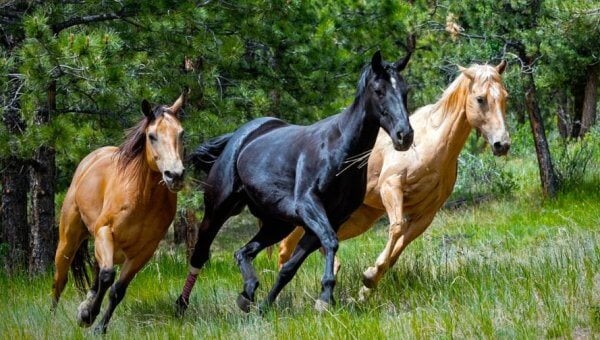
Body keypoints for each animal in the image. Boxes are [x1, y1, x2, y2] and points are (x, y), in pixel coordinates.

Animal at [52, 92, 186, 332]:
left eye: (181, 133)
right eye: (152, 136)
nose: (175, 175)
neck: (143, 198)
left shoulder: (144, 252)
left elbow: (117, 290)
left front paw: (97, 325)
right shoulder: (105, 232)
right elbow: (107, 277)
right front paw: (89, 315)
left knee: (96, 274)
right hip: (69, 241)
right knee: (60, 281)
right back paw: (52, 321)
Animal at [176, 50, 414, 314]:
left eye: (405, 90)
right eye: (379, 90)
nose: (404, 135)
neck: (339, 149)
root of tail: (239, 136)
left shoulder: (329, 218)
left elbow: (290, 267)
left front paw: (266, 306)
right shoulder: (309, 205)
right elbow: (330, 242)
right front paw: (325, 297)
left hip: (278, 224)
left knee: (243, 252)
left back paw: (248, 293)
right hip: (218, 209)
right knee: (200, 254)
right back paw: (181, 305)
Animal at [278, 60, 508, 298]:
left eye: (505, 97)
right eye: (480, 99)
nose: (502, 144)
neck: (431, 145)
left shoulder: (426, 214)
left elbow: (400, 246)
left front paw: (368, 284)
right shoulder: (391, 188)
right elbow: (396, 228)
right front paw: (369, 276)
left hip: (359, 218)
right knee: (288, 245)